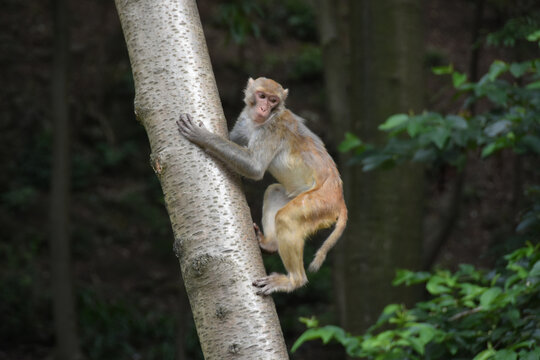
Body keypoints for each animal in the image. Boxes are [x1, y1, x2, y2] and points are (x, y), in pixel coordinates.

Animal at [177, 76, 346, 296]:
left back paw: (293, 281)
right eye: (262, 96)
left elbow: (254, 167)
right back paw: (270, 244)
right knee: (274, 191)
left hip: (319, 203)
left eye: (273, 100)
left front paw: (202, 136)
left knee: (286, 218)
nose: (264, 108)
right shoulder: (244, 119)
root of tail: (340, 198)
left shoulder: (272, 129)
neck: (259, 122)